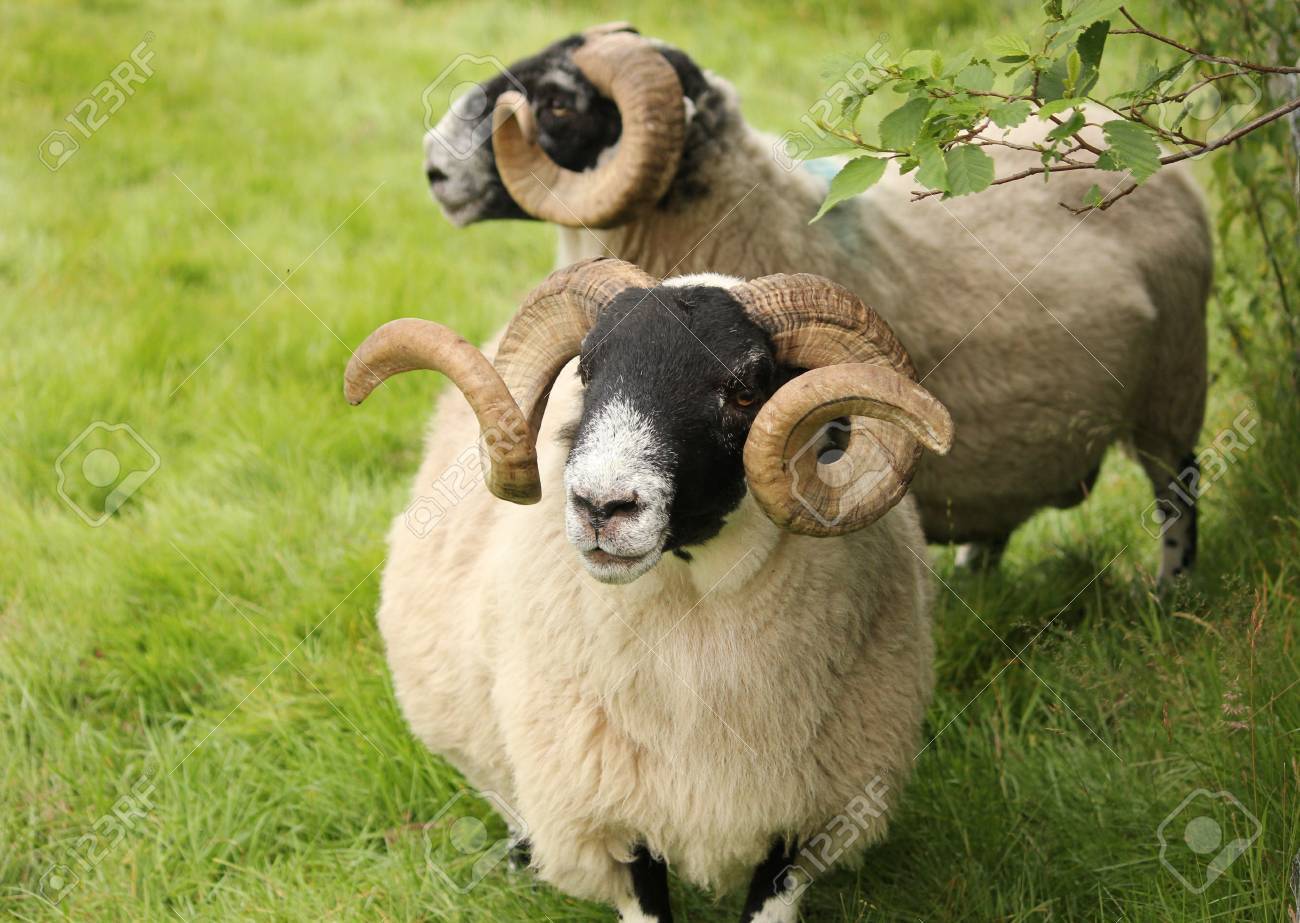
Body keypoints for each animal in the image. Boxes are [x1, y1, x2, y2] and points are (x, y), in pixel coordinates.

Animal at [345, 257, 955, 922]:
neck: (696, 623)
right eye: (587, 372)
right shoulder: (611, 813)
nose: (599, 507)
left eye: (747, 389)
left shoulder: (807, 813)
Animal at [422, 24, 1212, 582]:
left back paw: (1169, 595)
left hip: (1173, 391)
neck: (749, 218)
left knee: (1179, 496)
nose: (433, 167)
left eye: (558, 103)